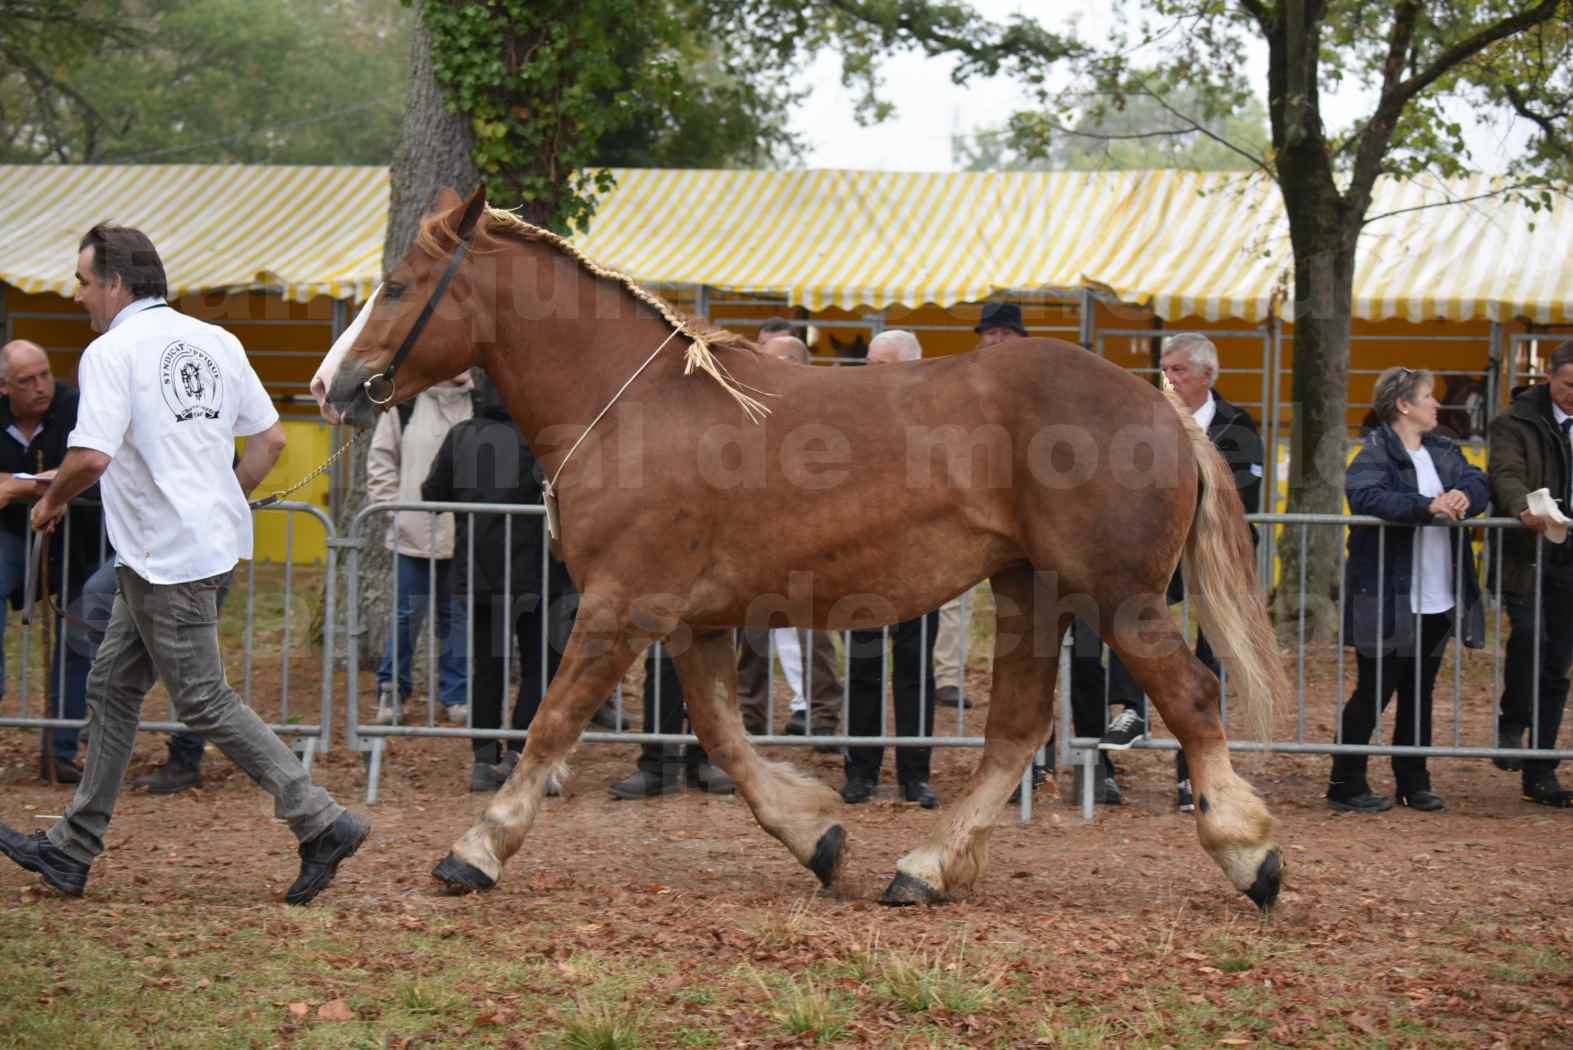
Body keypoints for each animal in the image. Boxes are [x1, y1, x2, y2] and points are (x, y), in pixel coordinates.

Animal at [309, 188, 1289, 911]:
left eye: (398, 284)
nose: (330, 385)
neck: (632, 408)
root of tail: (1160, 405)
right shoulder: (693, 622)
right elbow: (723, 737)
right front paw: (816, 836)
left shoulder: (621, 605)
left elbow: (550, 722)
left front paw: (475, 849)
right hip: (1031, 591)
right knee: (1015, 730)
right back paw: (924, 869)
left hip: (1115, 596)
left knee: (1191, 700)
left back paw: (1251, 856)